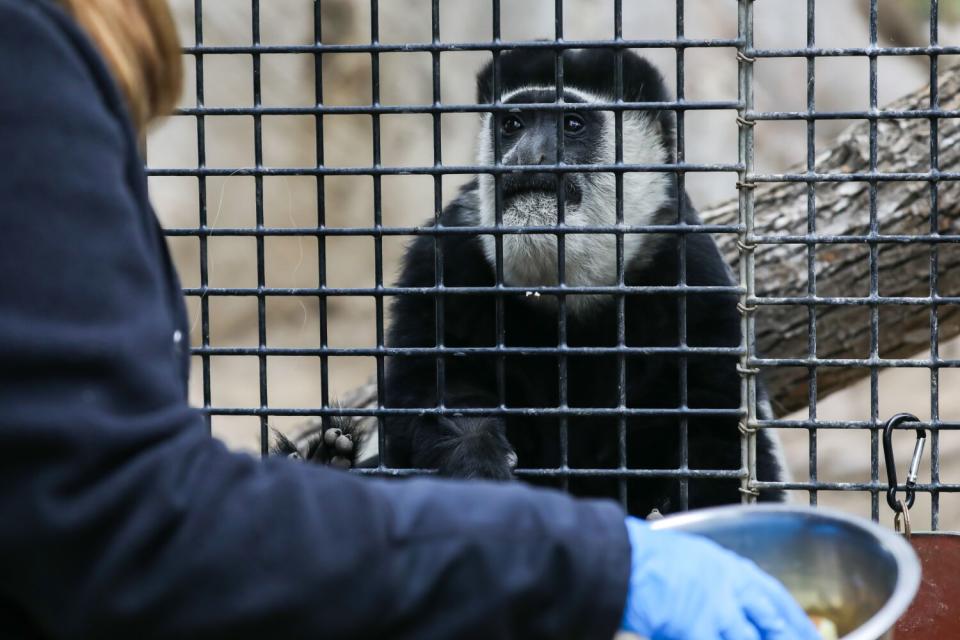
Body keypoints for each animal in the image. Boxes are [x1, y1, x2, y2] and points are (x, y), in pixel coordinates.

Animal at [382, 47, 788, 516]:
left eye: (572, 124)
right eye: (513, 124)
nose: (527, 156)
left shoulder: (695, 281)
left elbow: (717, 433)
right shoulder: (444, 259)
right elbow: (428, 388)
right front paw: (477, 462)